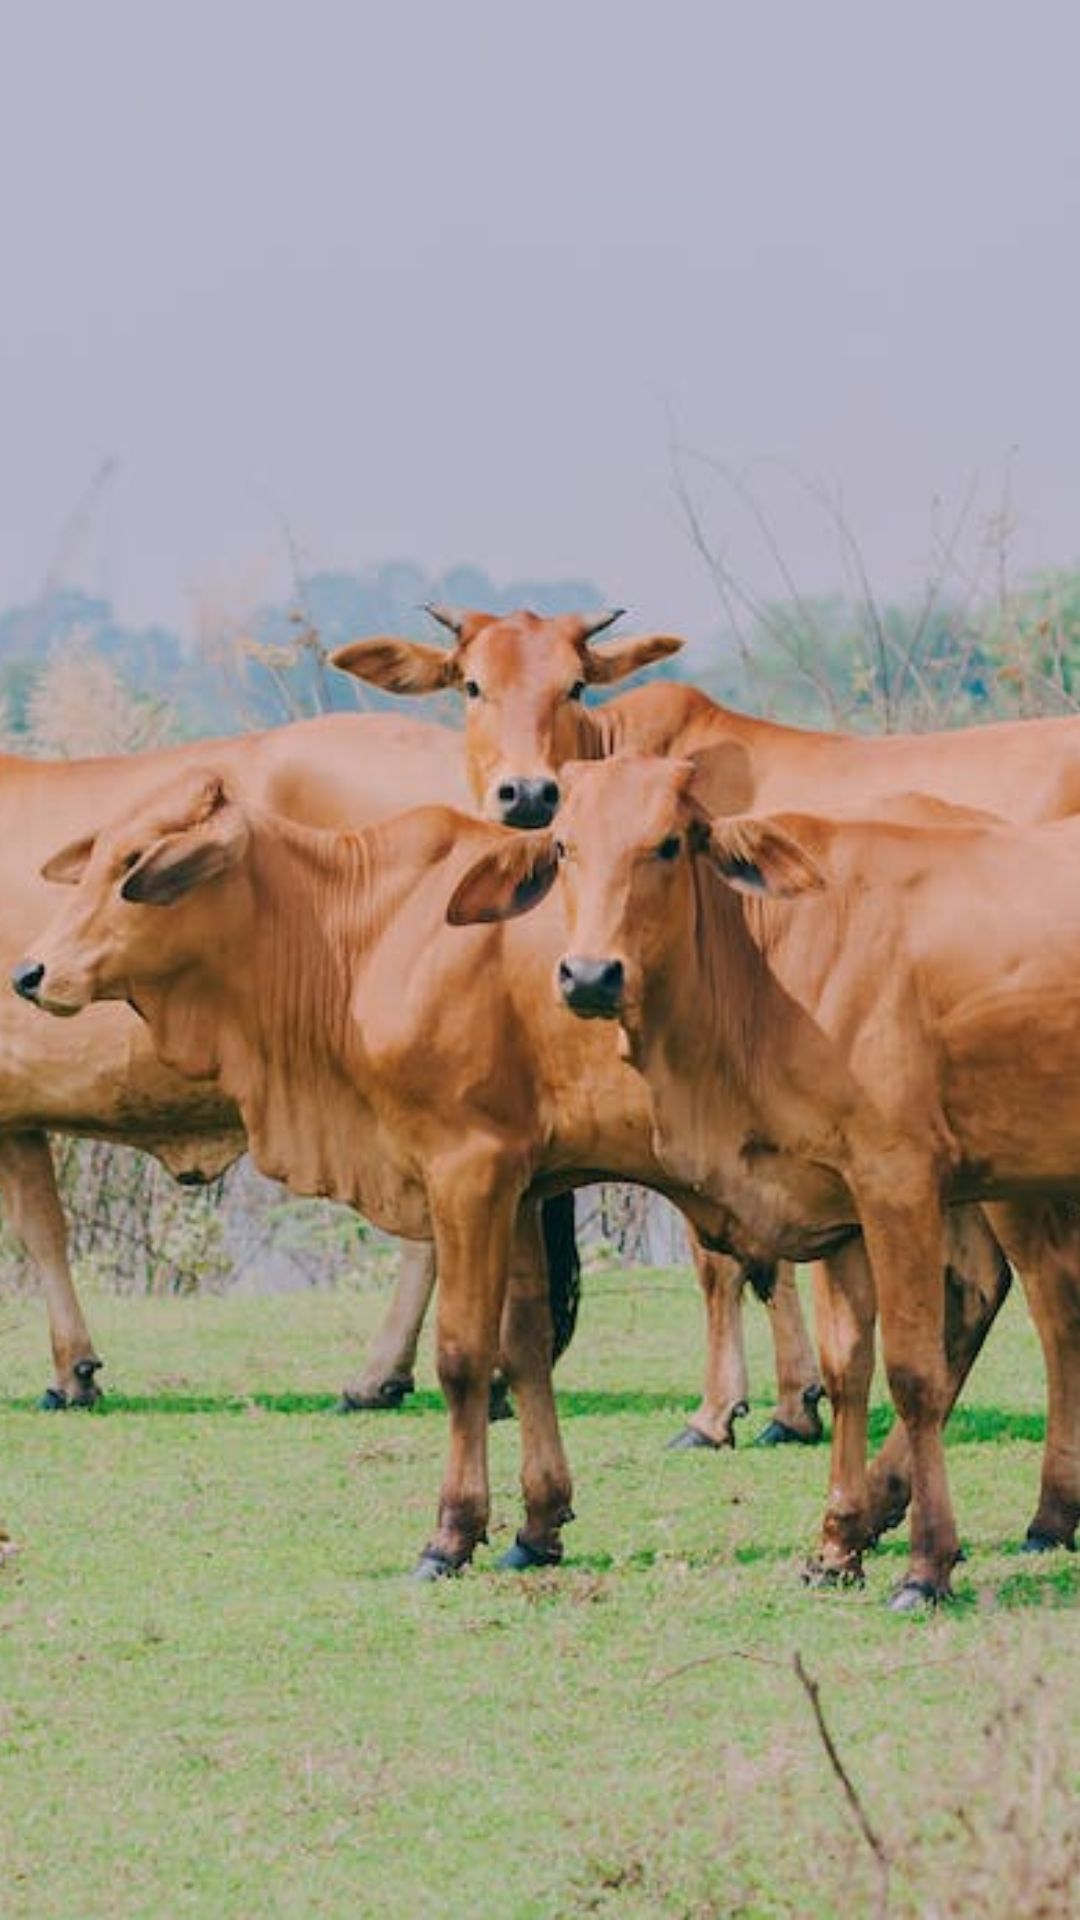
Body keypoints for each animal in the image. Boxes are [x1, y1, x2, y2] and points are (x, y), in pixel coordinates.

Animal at [443, 748, 1080, 1605]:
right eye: (565, 846)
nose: (590, 976)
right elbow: (848, 1367)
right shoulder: (837, 1202)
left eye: (669, 843)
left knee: (1051, 1309)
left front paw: (926, 1565)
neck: (772, 963)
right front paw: (838, 1544)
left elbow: (911, 1373)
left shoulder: (897, 1182)